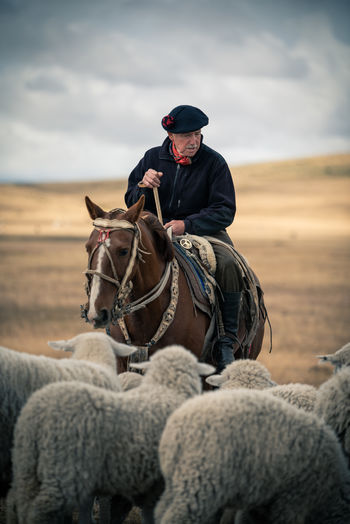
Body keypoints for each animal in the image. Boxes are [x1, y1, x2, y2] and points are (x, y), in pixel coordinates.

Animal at [154, 388, 350, 524]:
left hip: (177, 480)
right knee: (176, 518)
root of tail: (179, 424)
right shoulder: (293, 501)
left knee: (160, 510)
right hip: (199, 482)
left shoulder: (261, 503)